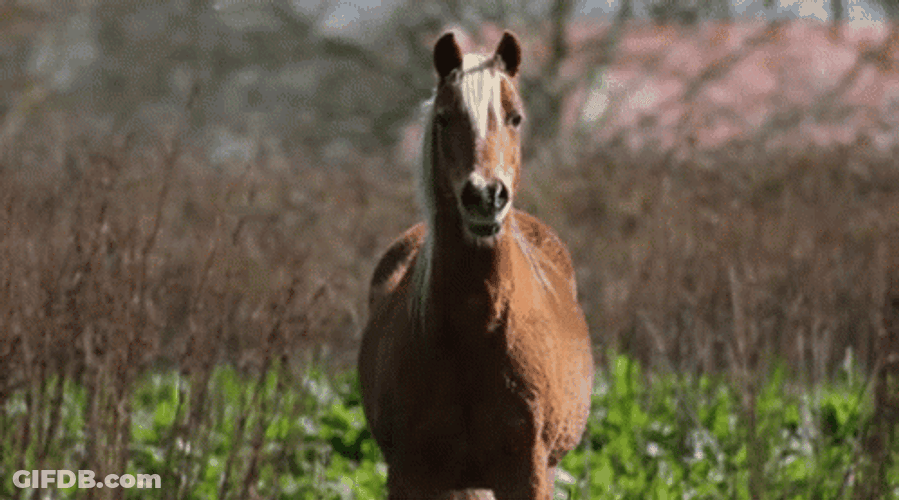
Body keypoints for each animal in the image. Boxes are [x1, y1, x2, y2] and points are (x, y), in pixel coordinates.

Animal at [358, 30, 594, 500]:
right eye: (445, 118)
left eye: (515, 117)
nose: (486, 195)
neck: (476, 326)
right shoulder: (410, 474)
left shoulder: (528, 473)